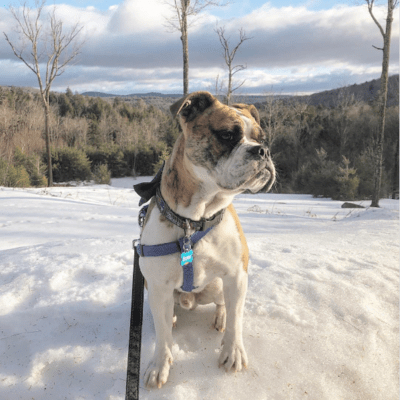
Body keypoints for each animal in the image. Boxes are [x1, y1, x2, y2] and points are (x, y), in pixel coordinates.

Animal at [136, 90, 274, 388]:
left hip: (220, 286)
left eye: (262, 139)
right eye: (228, 135)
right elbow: (163, 336)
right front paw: (159, 364)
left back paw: (220, 317)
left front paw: (232, 352)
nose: (263, 151)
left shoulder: (237, 275)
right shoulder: (158, 286)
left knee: (225, 306)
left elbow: (236, 319)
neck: (195, 219)